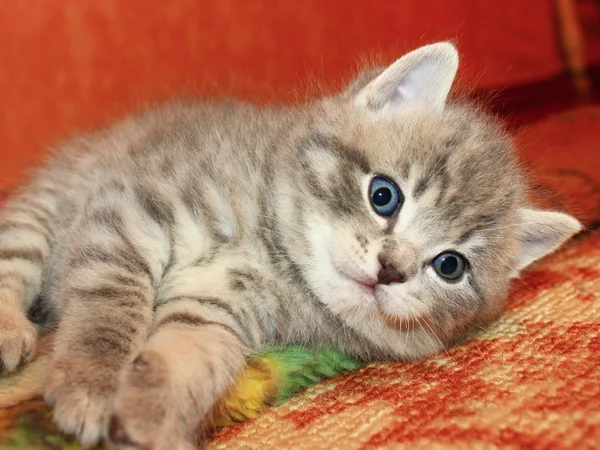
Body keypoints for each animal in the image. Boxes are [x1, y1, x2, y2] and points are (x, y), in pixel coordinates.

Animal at [0, 43, 580, 450]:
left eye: (450, 266)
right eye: (384, 195)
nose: (391, 269)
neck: (274, 256)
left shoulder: (211, 309)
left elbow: (185, 361)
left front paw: (150, 422)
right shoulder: (130, 213)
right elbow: (108, 309)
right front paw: (92, 386)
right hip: (41, 212)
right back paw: (12, 333)